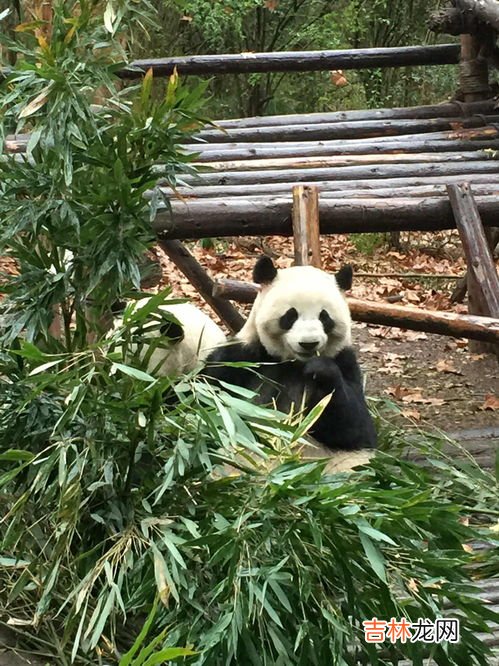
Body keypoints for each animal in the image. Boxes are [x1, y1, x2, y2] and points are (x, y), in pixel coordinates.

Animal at [203, 254, 376, 462]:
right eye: (290, 315)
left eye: (324, 317)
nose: (309, 343)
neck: (293, 363)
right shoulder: (243, 358)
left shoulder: (344, 361)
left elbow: (355, 429)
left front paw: (321, 369)